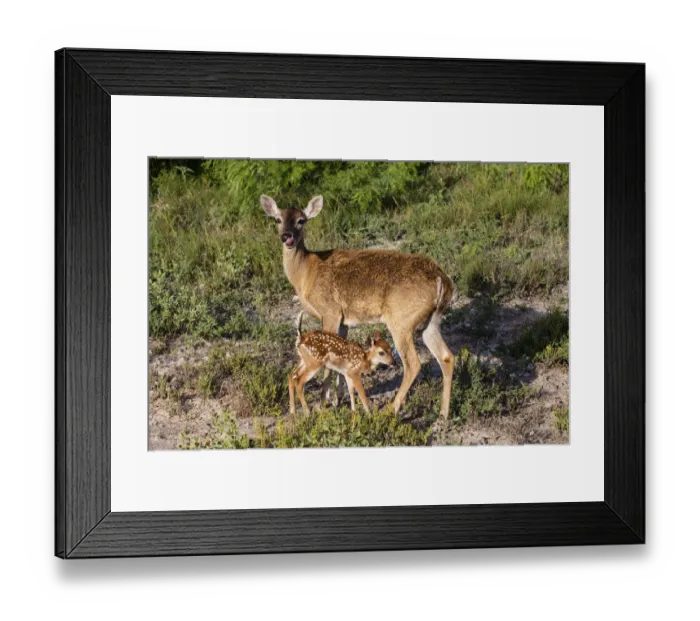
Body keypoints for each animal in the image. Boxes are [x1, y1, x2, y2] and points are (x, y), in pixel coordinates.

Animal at [261, 194, 455, 418]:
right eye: (277, 219)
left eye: (302, 220)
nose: (287, 237)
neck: (307, 273)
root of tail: (441, 278)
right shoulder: (344, 322)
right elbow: (340, 358)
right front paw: (338, 399)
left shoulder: (330, 311)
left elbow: (328, 363)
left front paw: (322, 404)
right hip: (430, 321)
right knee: (447, 357)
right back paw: (443, 413)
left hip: (401, 320)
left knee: (413, 364)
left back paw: (392, 409)